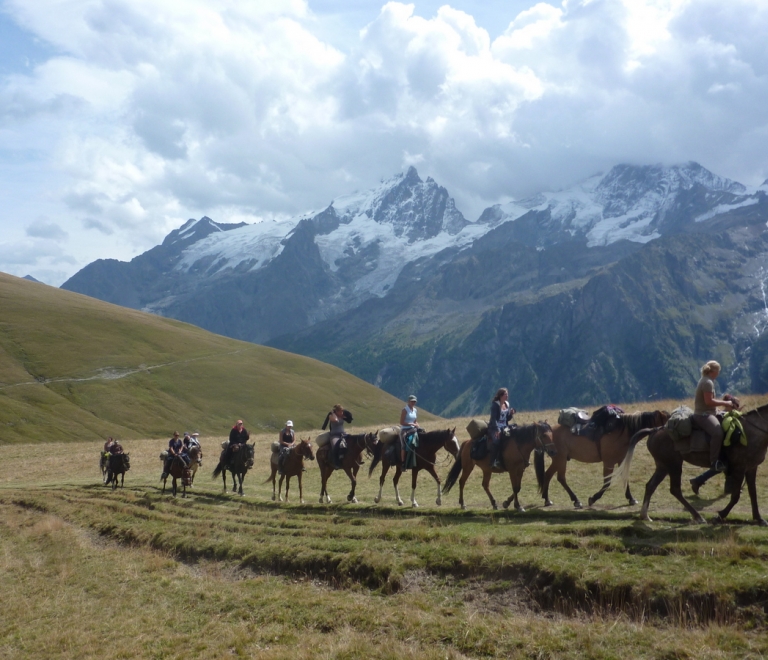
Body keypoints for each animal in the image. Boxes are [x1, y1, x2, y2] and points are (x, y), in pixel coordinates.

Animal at [536, 410, 668, 508]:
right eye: (668, 419)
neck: (622, 431)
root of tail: (548, 431)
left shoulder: (621, 460)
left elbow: (625, 478)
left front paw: (631, 498)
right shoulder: (609, 462)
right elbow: (607, 482)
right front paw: (593, 498)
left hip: (558, 459)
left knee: (548, 475)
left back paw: (547, 499)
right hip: (560, 459)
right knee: (560, 478)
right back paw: (575, 500)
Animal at [612, 402, 768, 524]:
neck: (752, 432)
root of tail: (655, 430)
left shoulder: (751, 467)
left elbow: (753, 493)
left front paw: (759, 518)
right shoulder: (739, 468)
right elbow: (735, 496)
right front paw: (720, 516)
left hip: (663, 465)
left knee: (651, 485)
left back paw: (645, 515)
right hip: (674, 464)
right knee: (675, 490)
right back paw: (698, 516)